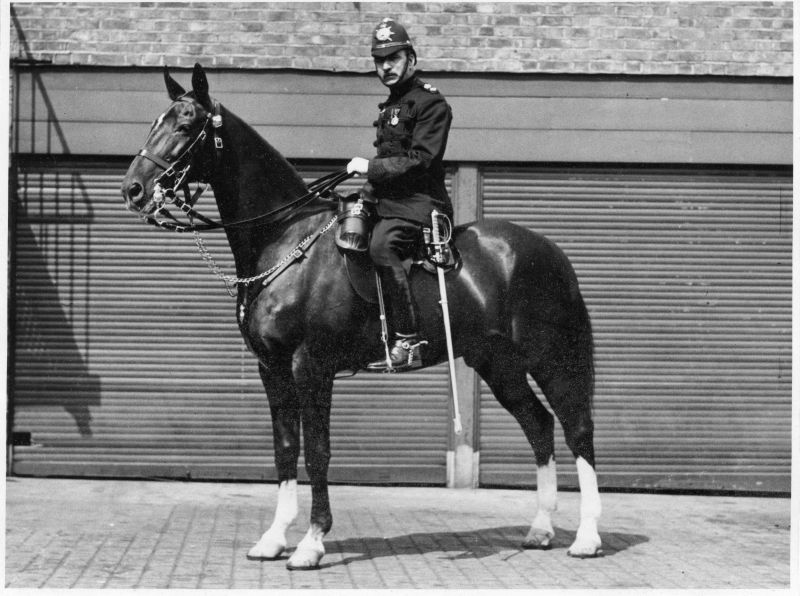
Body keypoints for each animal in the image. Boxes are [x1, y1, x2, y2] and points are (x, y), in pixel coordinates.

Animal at [120, 64, 600, 568]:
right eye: (157, 121)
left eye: (187, 124)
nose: (133, 189)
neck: (286, 239)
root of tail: (549, 251)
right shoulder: (272, 368)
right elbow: (285, 448)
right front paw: (274, 537)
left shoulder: (311, 366)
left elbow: (318, 451)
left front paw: (311, 542)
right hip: (498, 364)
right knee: (539, 425)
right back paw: (540, 529)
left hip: (551, 360)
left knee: (577, 429)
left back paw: (587, 538)